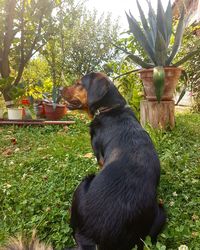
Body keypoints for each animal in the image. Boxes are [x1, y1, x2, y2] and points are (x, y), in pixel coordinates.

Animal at [62, 73, 166, 250]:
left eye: (78, 83)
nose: (60, 88)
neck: (110, 108)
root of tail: (90, 239)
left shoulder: (100, 158)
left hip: (85, 182)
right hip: (160, 214)